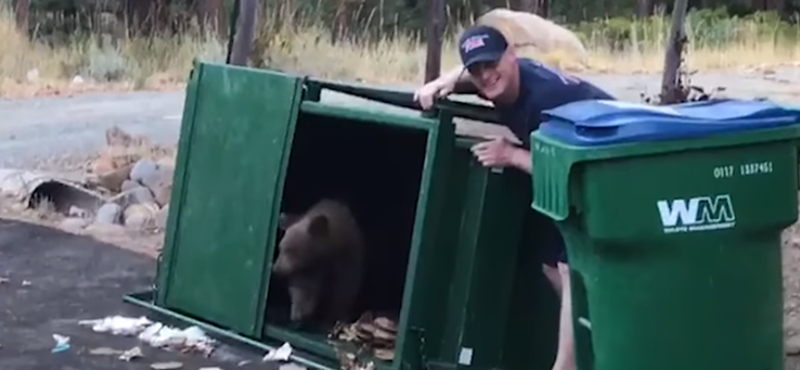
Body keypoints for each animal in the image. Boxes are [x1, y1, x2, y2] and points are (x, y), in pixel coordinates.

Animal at [272, 198, 366, 330]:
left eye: (290, 250)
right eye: (281, 248)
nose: (276, 269)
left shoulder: (347, 260)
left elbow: (343, 290)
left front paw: (331, 318)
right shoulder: (310, 268)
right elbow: (304, 287)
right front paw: (300, 312)